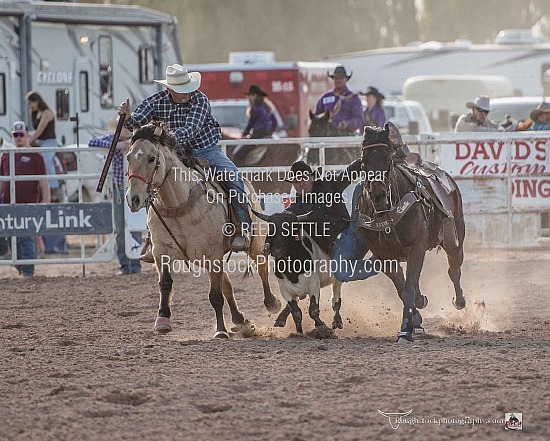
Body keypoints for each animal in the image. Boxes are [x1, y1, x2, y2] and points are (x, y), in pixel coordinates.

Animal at [124, 123, 280, 336]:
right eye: (128, 157)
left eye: (151, 158)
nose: (134, 198)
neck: (179, 207)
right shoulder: (161, 251)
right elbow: (166, 284)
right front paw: (162, 320)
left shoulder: (213, 254)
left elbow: (215, 295)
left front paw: (220, 331)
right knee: (227, 285)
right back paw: (240, 320)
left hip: (254, 242)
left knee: (262, 268)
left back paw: (271, 303)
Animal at [360, 124, 468, 344]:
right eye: (364, 161)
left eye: (388, 159)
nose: (378, 194)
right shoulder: (383, 257)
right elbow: (403, 288)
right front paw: (414, 320)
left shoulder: (417, 247)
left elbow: (408, 290)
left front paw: (404, 331)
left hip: (455, 242)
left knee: (454, 270)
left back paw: (459, 300)